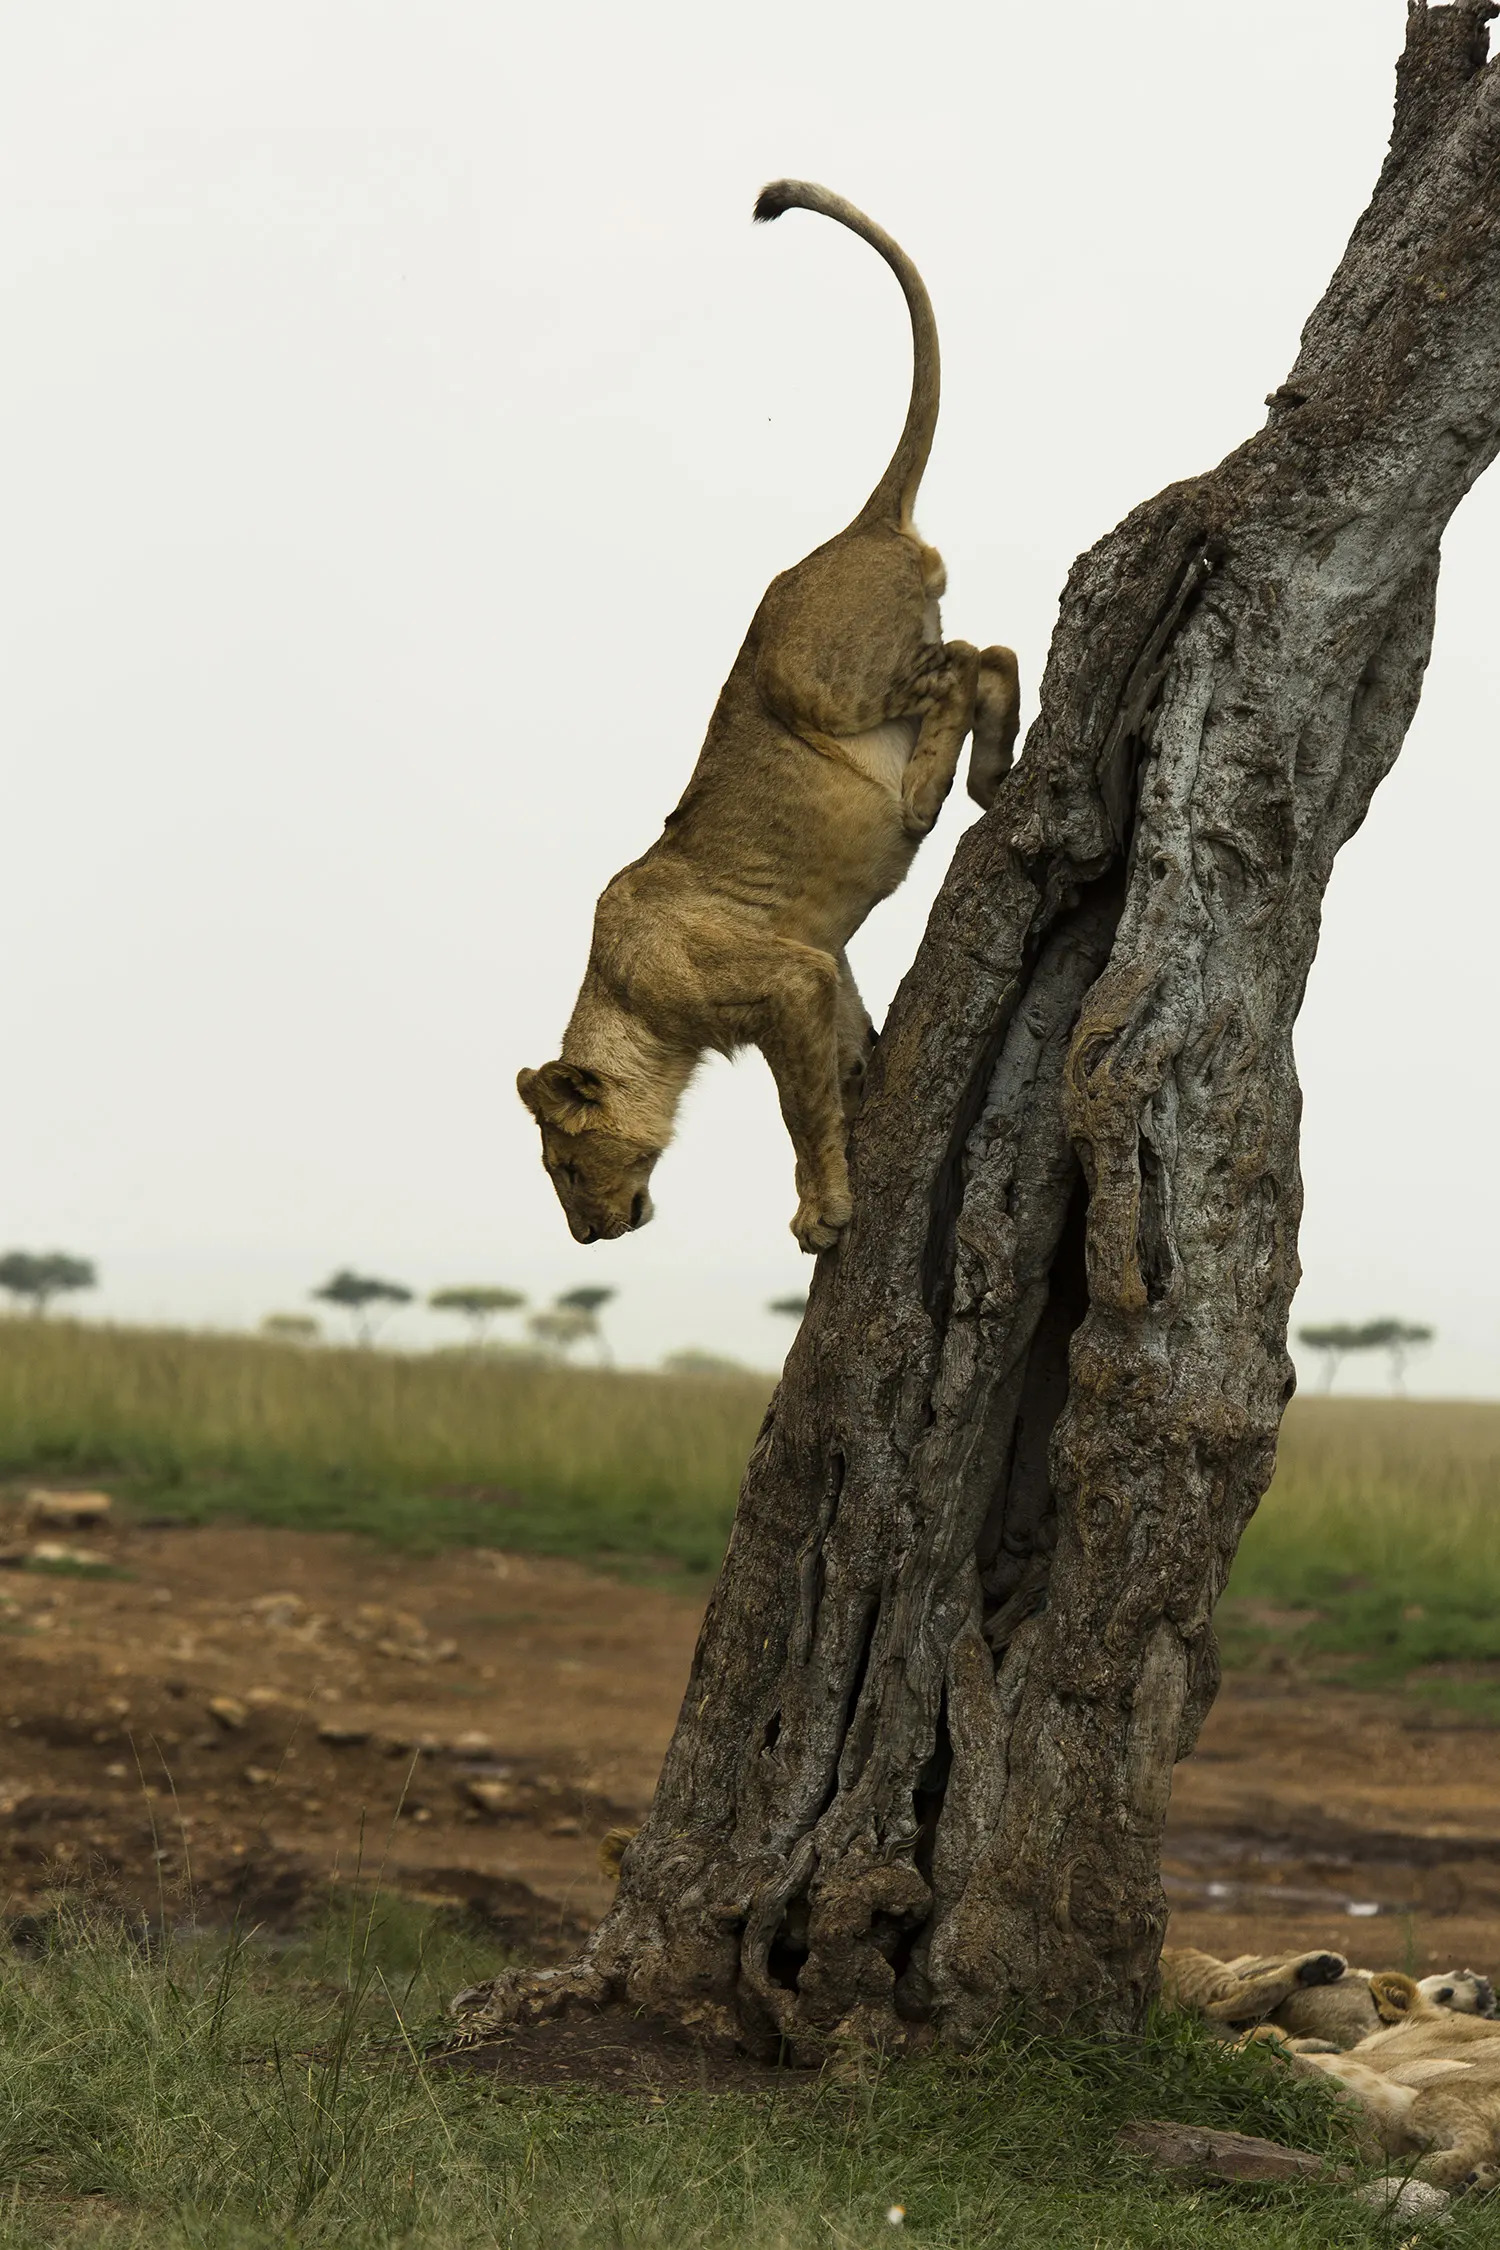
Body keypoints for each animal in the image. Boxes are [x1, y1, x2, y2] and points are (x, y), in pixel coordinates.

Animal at [517, 180, 1020, 1251]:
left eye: (564, 1166)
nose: (585, 1235)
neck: (624, 994)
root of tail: (857, 529)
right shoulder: (823, 964)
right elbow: (844, 1065)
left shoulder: (782, 980)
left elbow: (798, 1106)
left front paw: (823, 1213)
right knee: (993, 651)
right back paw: (993, 775)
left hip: (814, 678)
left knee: (959, 664)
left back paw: (931, 793)